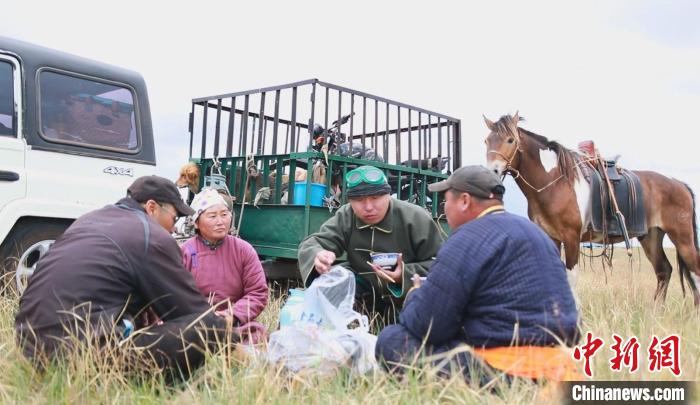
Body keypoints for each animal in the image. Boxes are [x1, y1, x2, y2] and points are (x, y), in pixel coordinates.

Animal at [484, 112, 696, 304]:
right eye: (486, 141)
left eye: (510, 140)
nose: (492, 171)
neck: (556, 182)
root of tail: (680, 184)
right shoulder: (552, 237)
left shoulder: (571, 238)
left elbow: (571, 279)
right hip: (651, 236)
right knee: (664, 271)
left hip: (683, 239)